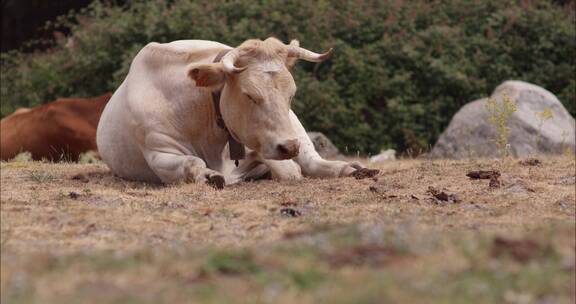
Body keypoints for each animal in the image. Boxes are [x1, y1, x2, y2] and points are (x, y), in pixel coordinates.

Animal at [94, 38, 364, 188]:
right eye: (250, 95)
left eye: (292, 94)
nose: (288, 147)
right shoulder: (159, 153)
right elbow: (192, 162)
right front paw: (208, 176)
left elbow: (289, 169)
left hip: (295, 126)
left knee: (311, 160)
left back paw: (350, 168)